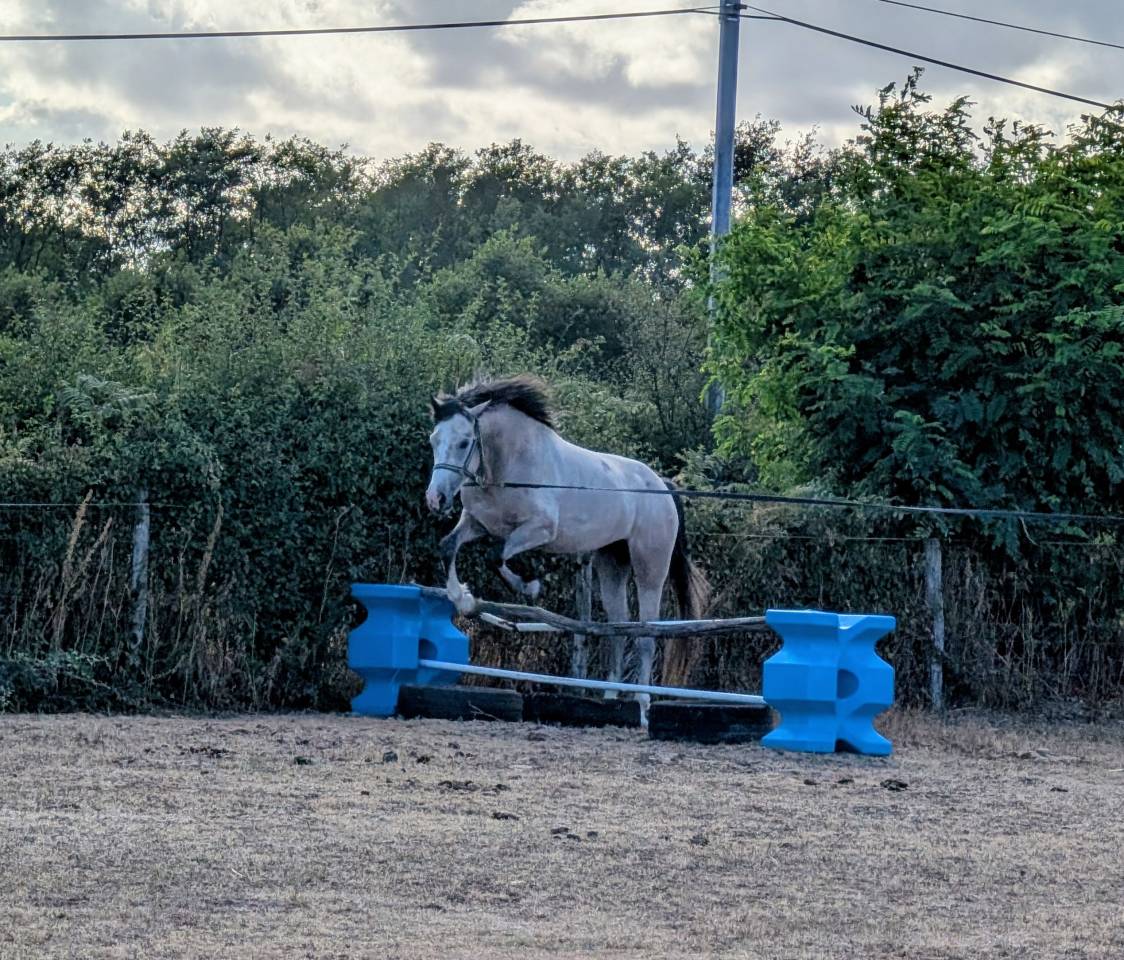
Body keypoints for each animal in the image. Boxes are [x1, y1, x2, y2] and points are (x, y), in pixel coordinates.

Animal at [423, 375, 708, 703]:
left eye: (463, 442)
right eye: (433, 440)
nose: (436, 499)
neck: (507, 465)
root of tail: (661, 484)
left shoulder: (540, 529)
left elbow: (495, 557)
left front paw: (530, 587)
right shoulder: (477, 523)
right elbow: (448, 547)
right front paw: (464, 599)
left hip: (650, 566)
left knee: (647, 634)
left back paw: (642, 699)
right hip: (612, 562)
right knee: (618, 629)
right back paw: (611, 696)